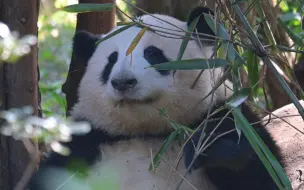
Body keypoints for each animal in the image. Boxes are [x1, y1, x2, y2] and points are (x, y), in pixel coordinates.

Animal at [27, 5, 284, 190]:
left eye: (152, 54)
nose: (123, 82)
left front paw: (209, 149)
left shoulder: (226, 116)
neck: (149, 132)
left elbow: (265, 173)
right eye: (111, 61)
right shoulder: (84, 144)